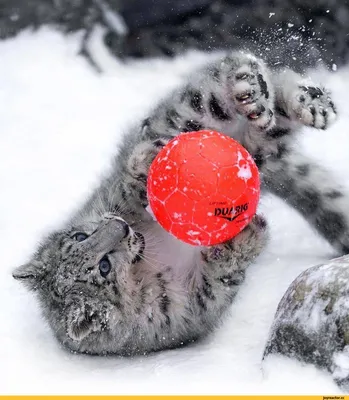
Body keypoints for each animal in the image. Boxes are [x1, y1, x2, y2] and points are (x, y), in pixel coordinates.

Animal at [12, 50, 342, 356]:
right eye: (104, 267)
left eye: (80, 235)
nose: (120, 227)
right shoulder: (191, 304)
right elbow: (219, 278)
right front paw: (242, 238)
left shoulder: (115, 196)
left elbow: (130, 180)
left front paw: (147, 164)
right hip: (259, 147)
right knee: (269, 129)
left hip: (196, 112)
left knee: (236, 80)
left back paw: (274, 95)